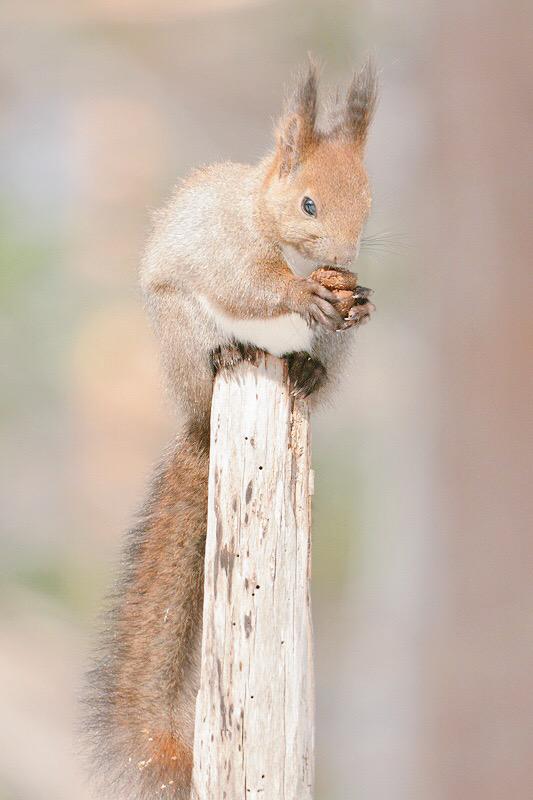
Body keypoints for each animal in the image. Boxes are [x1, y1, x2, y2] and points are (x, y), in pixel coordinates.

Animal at [84, 59, 378, 796]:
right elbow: (249, 282)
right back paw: (230, 352)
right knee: (217, 340)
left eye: (368, 201)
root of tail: (200, 420)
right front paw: (300, 291)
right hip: (183, 330)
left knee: (316, 364)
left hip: (325, 358)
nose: (346, 257)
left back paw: (305, 369)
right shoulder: (228, 251)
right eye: (308, 204)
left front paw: (356, 298)